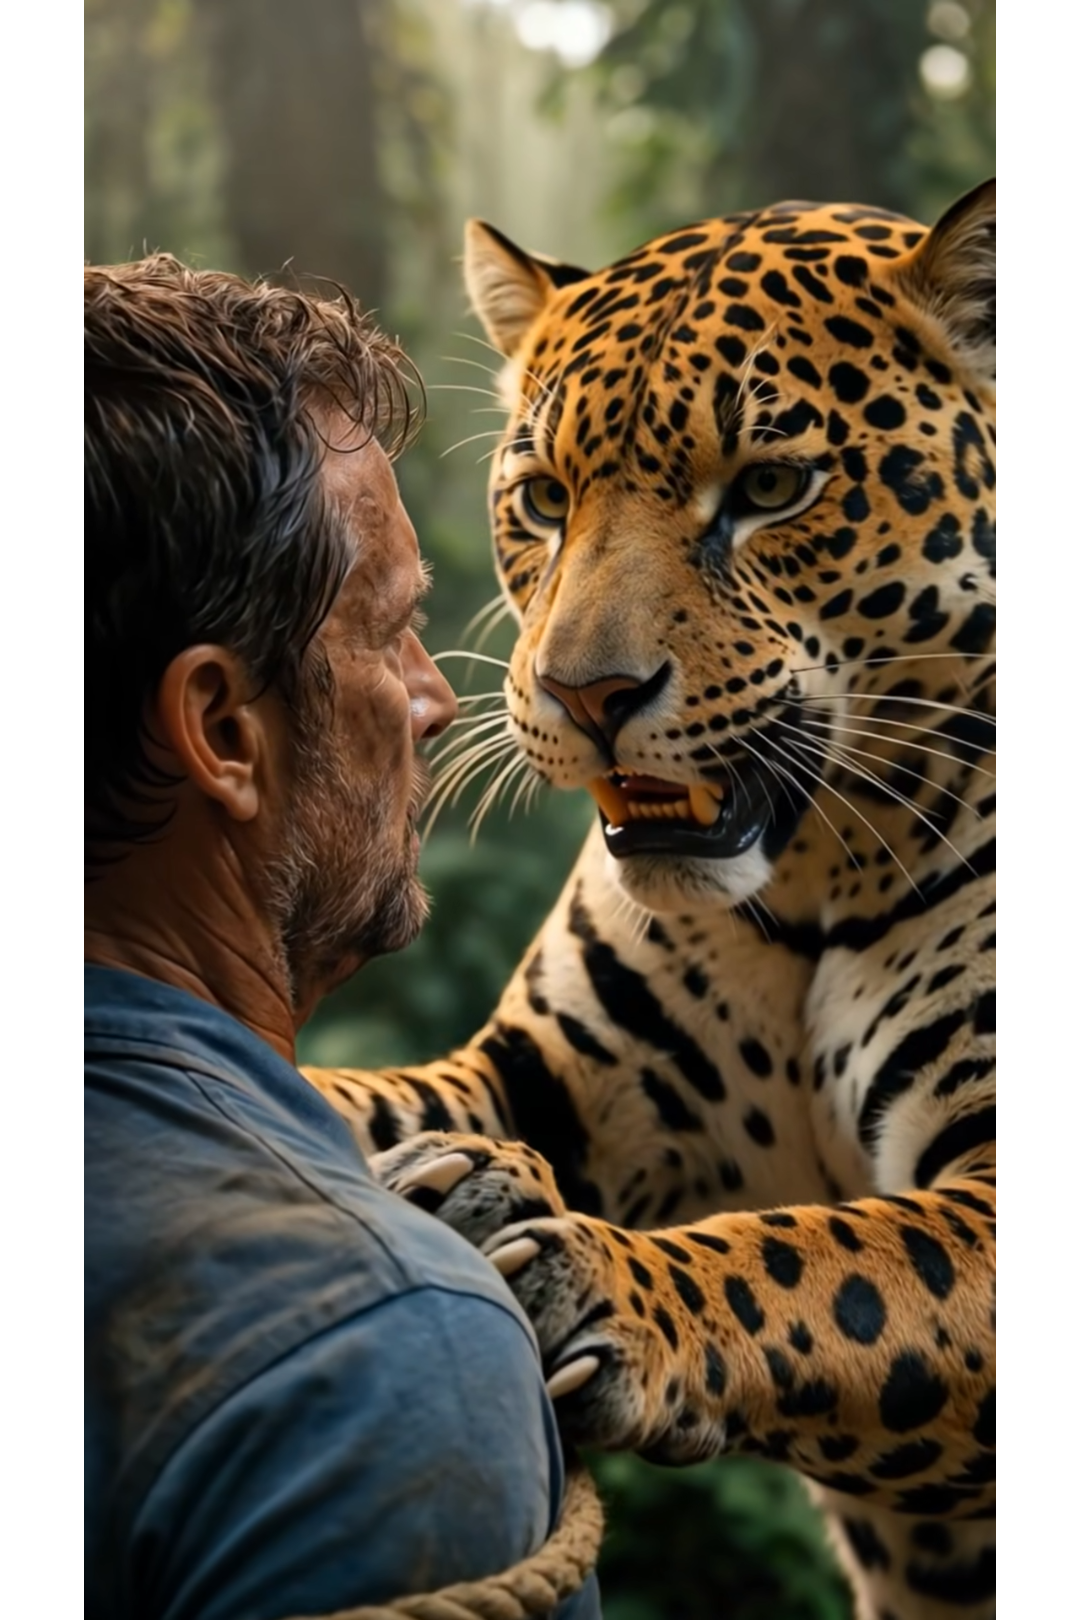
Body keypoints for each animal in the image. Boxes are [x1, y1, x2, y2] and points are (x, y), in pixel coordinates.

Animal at [305, 178, 997, 1620]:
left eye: (774, 488)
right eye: (544, 498)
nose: (587, 696)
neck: (811, 885)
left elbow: (826, 1258)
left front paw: (597, 1282)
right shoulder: (537, 1074)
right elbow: (355, 1099)